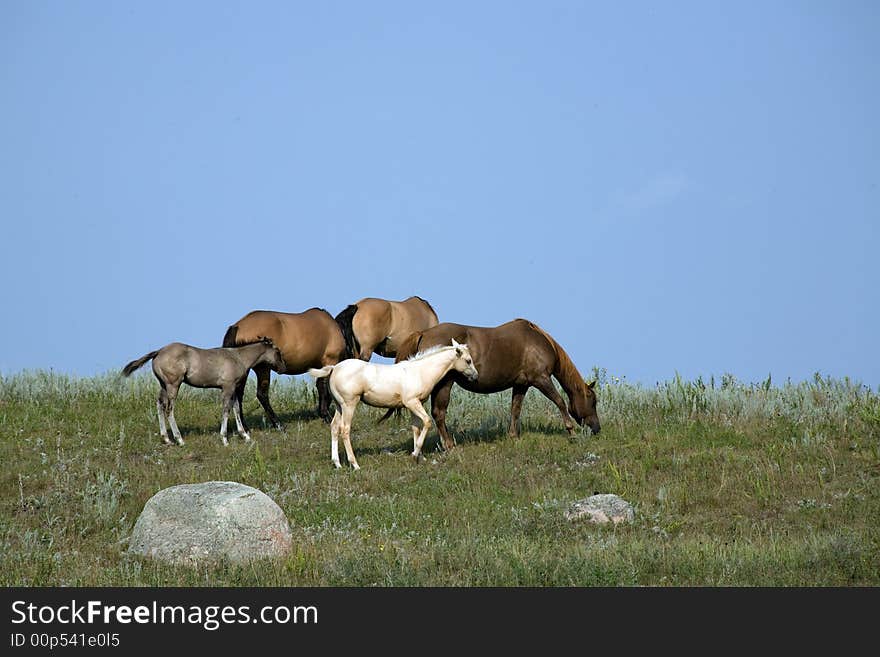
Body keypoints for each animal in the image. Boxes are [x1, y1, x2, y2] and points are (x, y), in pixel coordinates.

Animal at [120, 338, 284, 446]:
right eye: (277, 351)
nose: (282, 367)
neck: (238, 357)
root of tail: (158, 352)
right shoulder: (228, 387)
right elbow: (226, 410)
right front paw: (224, 439)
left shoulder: (234, 389)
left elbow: (236, 408)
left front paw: (245, 436)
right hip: (173, 385)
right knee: (169, 409)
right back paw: (179, 439)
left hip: (163, 385)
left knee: (160, 404)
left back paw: (166, 439)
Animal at [308, 340, 478, 468]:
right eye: (468, 360)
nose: (475, 377)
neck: (420, 372)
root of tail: (334, 368)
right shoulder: (412, 402)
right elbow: (427, 422)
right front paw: (415, 454)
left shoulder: (413, 405)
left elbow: (416, 428)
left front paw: (419, 456)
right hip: (349, 404)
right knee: (345, 430)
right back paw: (355, 464)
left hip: (339, 406)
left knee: (334, 427)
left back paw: (337, 463)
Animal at [390, 320, 600, 452]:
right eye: (593, 401)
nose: (597, 428)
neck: (538, 342)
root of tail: (423, 333)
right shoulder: (541, 379)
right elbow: (560, 402)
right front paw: (571, 431)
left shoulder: (521, 385)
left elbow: (515, 409)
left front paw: (513, 436)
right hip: (444, 384)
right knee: (439, 413)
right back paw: (449, 445)